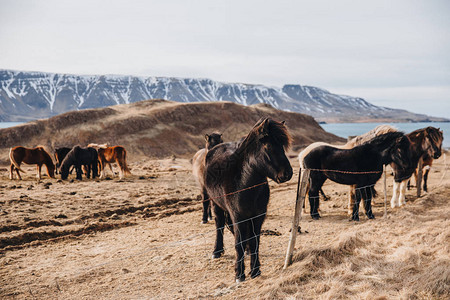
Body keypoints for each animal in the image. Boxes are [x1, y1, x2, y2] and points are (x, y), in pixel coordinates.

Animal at [205, 118, 296, 282]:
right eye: (269, 146)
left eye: (282, 146)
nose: (287, 173)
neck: (245, 183)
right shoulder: (238, 216)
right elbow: (238, 243)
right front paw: (239, 274)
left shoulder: (258, 215)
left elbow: (255, 241)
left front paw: (255, 271)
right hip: (215, 204)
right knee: (219, 225)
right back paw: (217, 251)